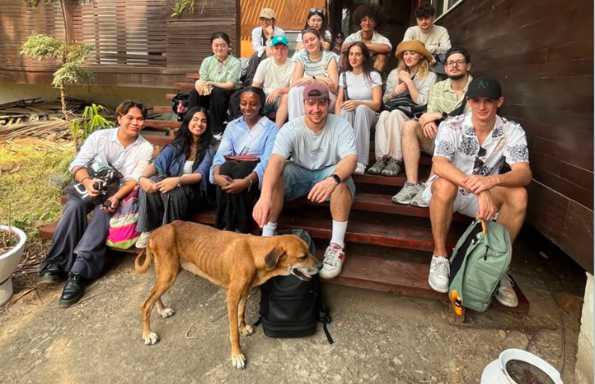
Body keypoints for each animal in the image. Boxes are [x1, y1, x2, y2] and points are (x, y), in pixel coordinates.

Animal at [135, 222, 322, 368]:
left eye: (308, 251)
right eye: (302, 256)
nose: (321, 266)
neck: (253, 254)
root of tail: (155, 232)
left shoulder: (244, 292)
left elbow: (241, 314)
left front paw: (243, 327)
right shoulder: (231, 298)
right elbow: (234, 333)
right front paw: (236, 355)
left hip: (165, 273)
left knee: (153, 295)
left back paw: (162, 310)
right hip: (169, 274)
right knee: (145, 304)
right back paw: (147, 334)